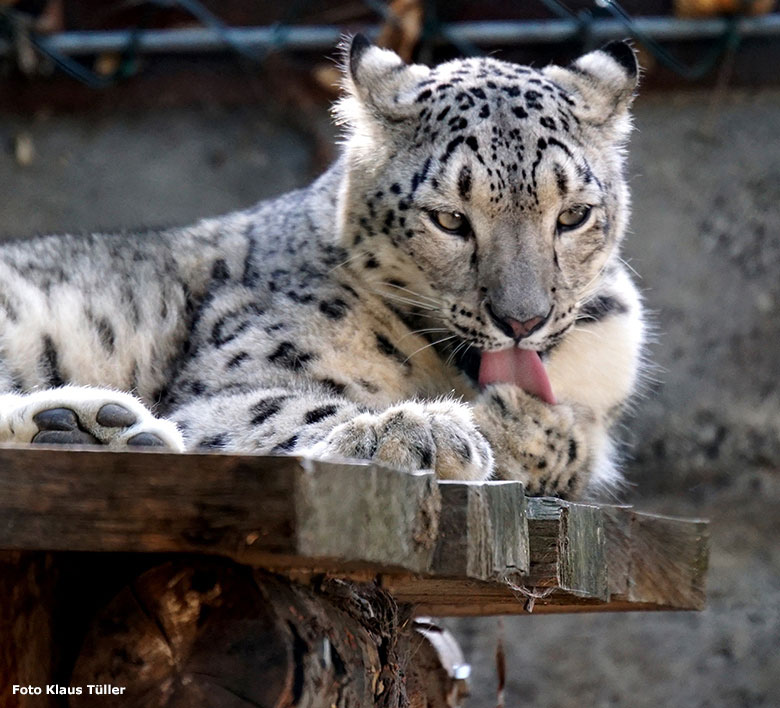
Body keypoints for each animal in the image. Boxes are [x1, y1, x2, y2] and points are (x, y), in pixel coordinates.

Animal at [0, 37, 644, 498]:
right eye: (450, 220)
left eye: (573, 215)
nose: (522, 321)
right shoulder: (229, 388)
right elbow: (273, 408)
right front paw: (418, 432)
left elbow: (572, 445)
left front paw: (515, 423)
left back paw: (80, 428)